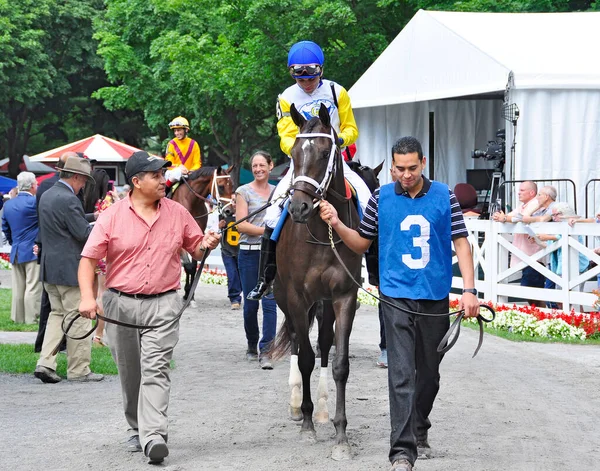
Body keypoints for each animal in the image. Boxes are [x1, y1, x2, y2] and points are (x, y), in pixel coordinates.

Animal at [171, 166, 234, 298]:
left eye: (232, 185)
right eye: (221, 186)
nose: (229, 211)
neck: (191, 202)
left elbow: (194, 265)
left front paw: (190, 293)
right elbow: (188, 266)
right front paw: (187, 292)